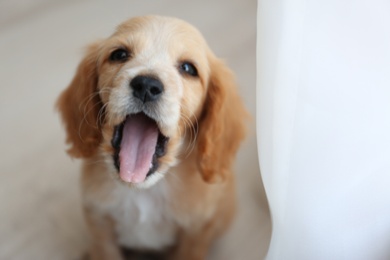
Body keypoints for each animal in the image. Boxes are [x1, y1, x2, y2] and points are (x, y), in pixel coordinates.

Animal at [56, 15, 248, 258]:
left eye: (188, 68)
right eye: (119, 54)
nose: (146, 85)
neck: (144, 191)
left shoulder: (196, 233)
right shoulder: (98, 222)